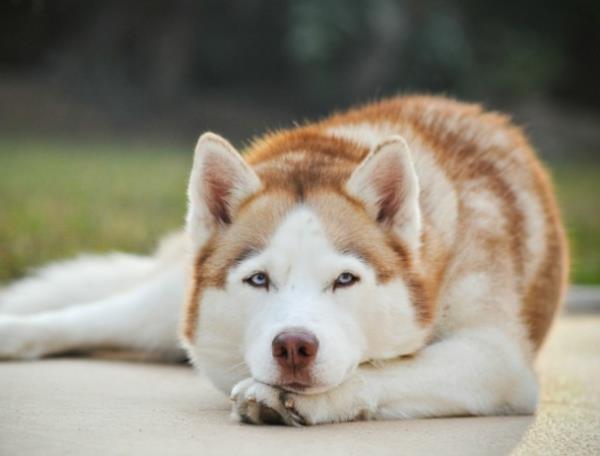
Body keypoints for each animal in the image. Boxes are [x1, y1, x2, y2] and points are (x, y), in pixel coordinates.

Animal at [0, 95, 568, 424]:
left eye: (345, 280)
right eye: (258, 280)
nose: (294, 347)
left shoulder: (497, 360)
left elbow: (384, 369)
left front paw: (302, 398)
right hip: (167, 306)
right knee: (93, 314)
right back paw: (16, 331)